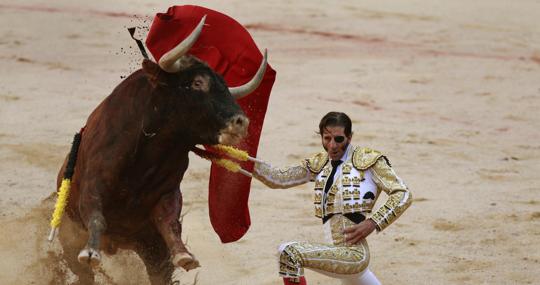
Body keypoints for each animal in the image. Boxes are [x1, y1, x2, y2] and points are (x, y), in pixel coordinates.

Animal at [54, 16, 266, 282]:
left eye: (226, 87)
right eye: (197, 83)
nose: (241, 121)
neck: (151, 150)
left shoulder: (168, 194)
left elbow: (170, 222)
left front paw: (185, 255)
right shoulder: (93, 184)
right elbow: (96, 215)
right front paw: (91, 251)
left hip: (150, 249)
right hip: (70, 242)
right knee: (84, 273)